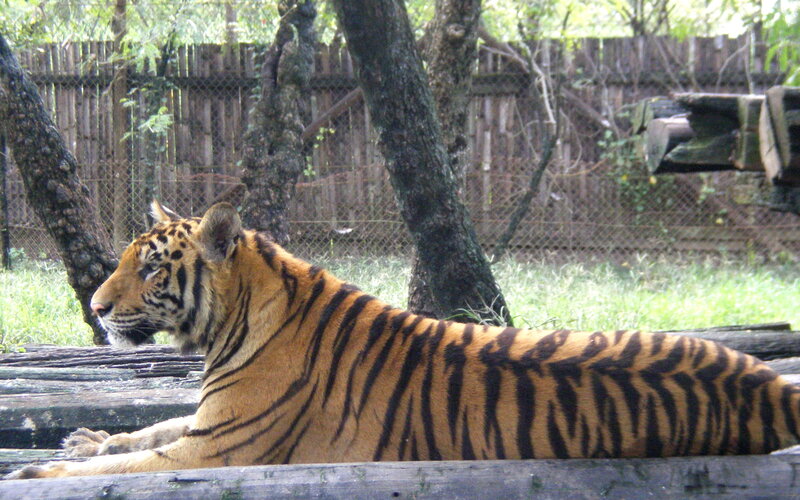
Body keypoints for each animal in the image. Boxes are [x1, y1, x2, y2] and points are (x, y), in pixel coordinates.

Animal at [8, 200, 800, 479]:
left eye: (148, 266)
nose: (96, 307)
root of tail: (771, 386)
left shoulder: (220, 444)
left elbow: (136, 460)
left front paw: (42, 471)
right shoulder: (207, 422)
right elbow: (146, 432)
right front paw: (86, 439)